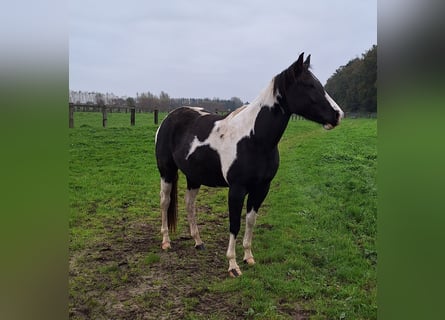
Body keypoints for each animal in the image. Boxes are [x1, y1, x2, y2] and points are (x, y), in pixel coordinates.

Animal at [154, 53, 342, 278]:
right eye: (309, 85)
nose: (338, 115)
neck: (254, 138)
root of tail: (169, 117)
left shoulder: (261, 188)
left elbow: (250, 220)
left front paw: (248, 257)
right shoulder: (237, 189)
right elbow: (234, 223)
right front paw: (233, 265)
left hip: (194, 176)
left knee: (190, 204)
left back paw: (198, 242)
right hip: (166, 171)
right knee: (165, 202)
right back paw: (166, 241)